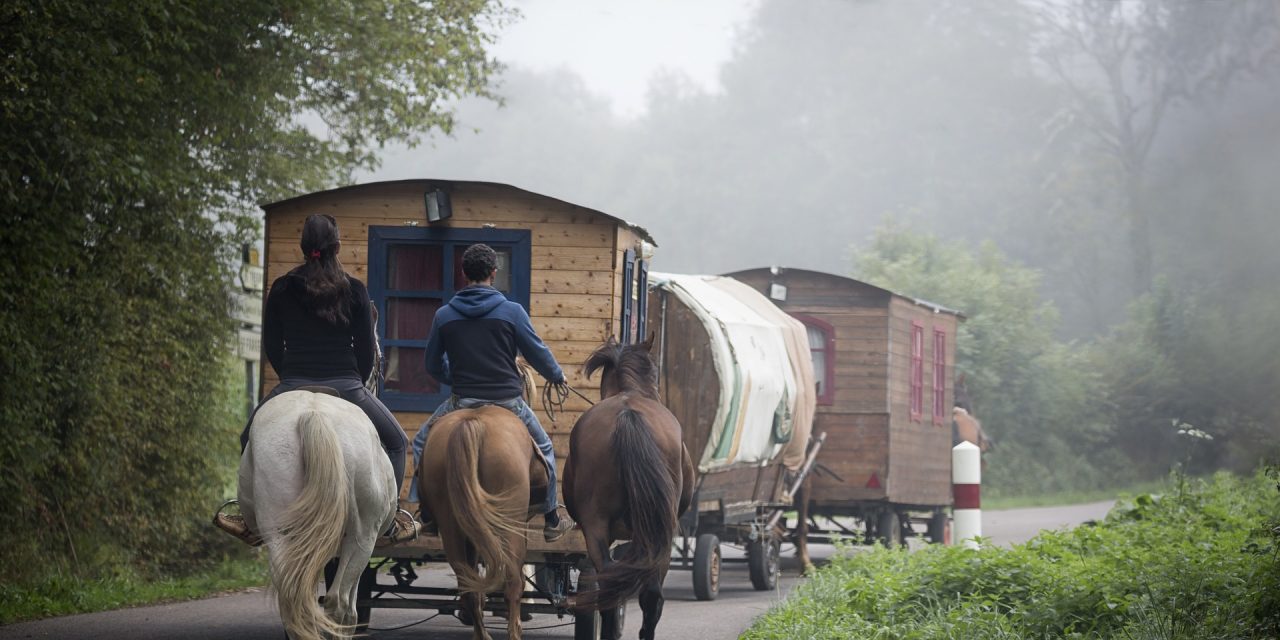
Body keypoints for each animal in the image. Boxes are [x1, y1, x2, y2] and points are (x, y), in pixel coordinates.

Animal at [414, 407, 545, 637]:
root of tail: (471, 423)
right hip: (509, 526)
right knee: (513, 581)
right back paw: (514, 630)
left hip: (452, 526)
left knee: (468, 584)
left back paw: (481, 632)